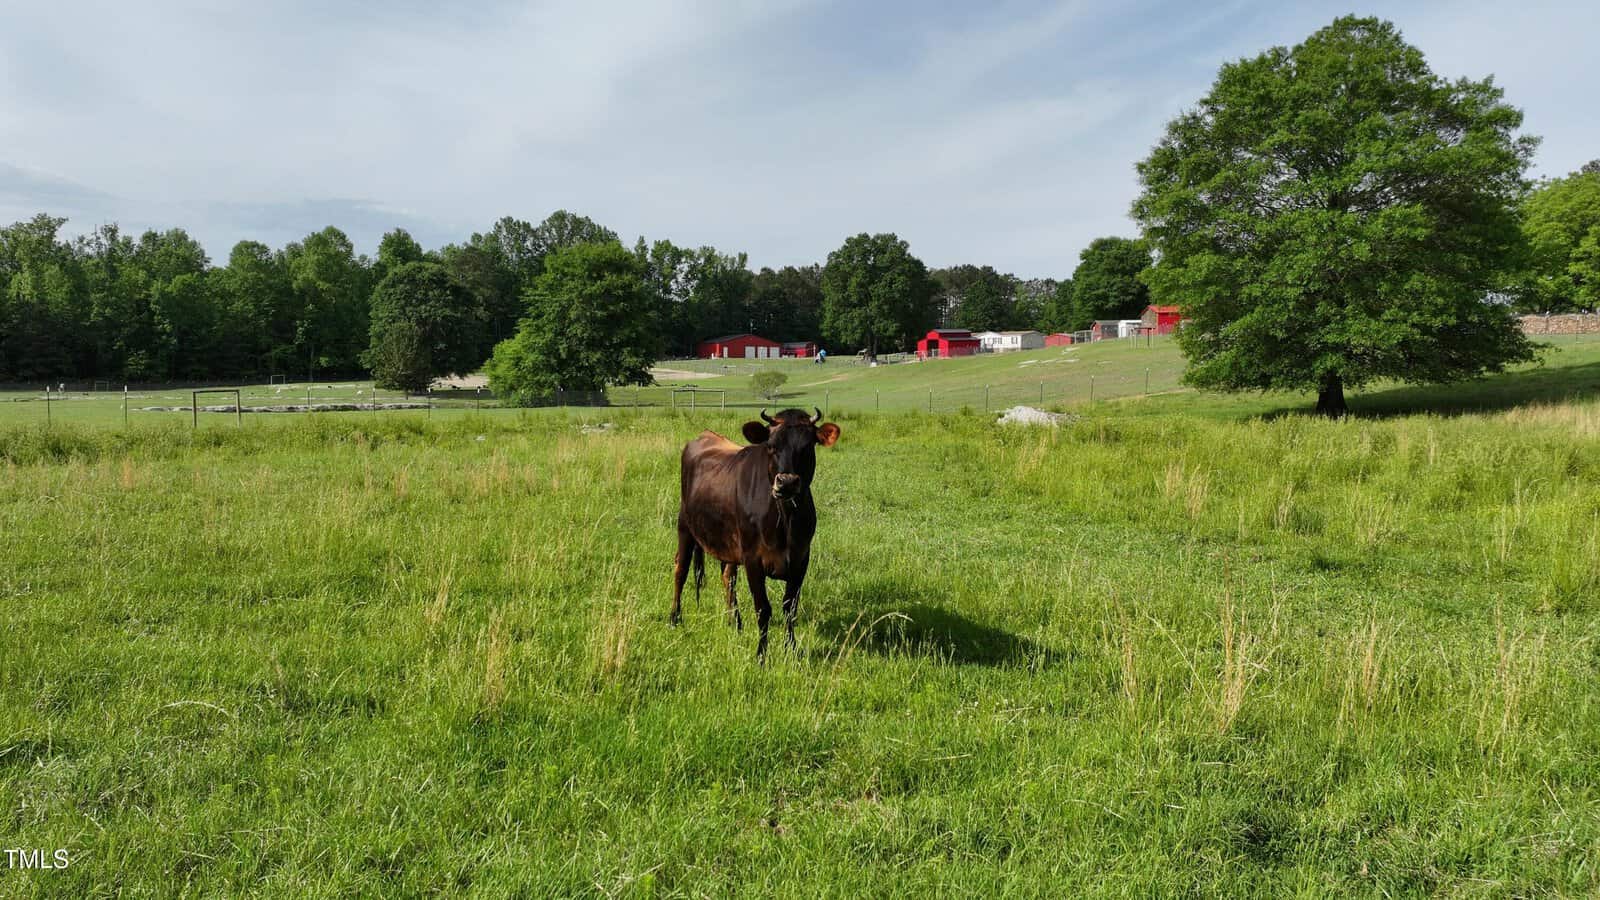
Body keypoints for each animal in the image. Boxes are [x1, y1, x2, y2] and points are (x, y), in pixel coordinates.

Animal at [670, 407, 841, 660]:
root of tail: (705, 436)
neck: (785, 520)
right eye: (771, 446)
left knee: (727, 577)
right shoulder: (753, 559)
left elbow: (790, 607)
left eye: (808, 445)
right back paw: (675, 618)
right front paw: (761, 655)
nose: (787, 482)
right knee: (680, 570)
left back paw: (735, 622)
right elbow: (763, 609)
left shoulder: (801, 559)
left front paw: (791, 649)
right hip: (685, 525)